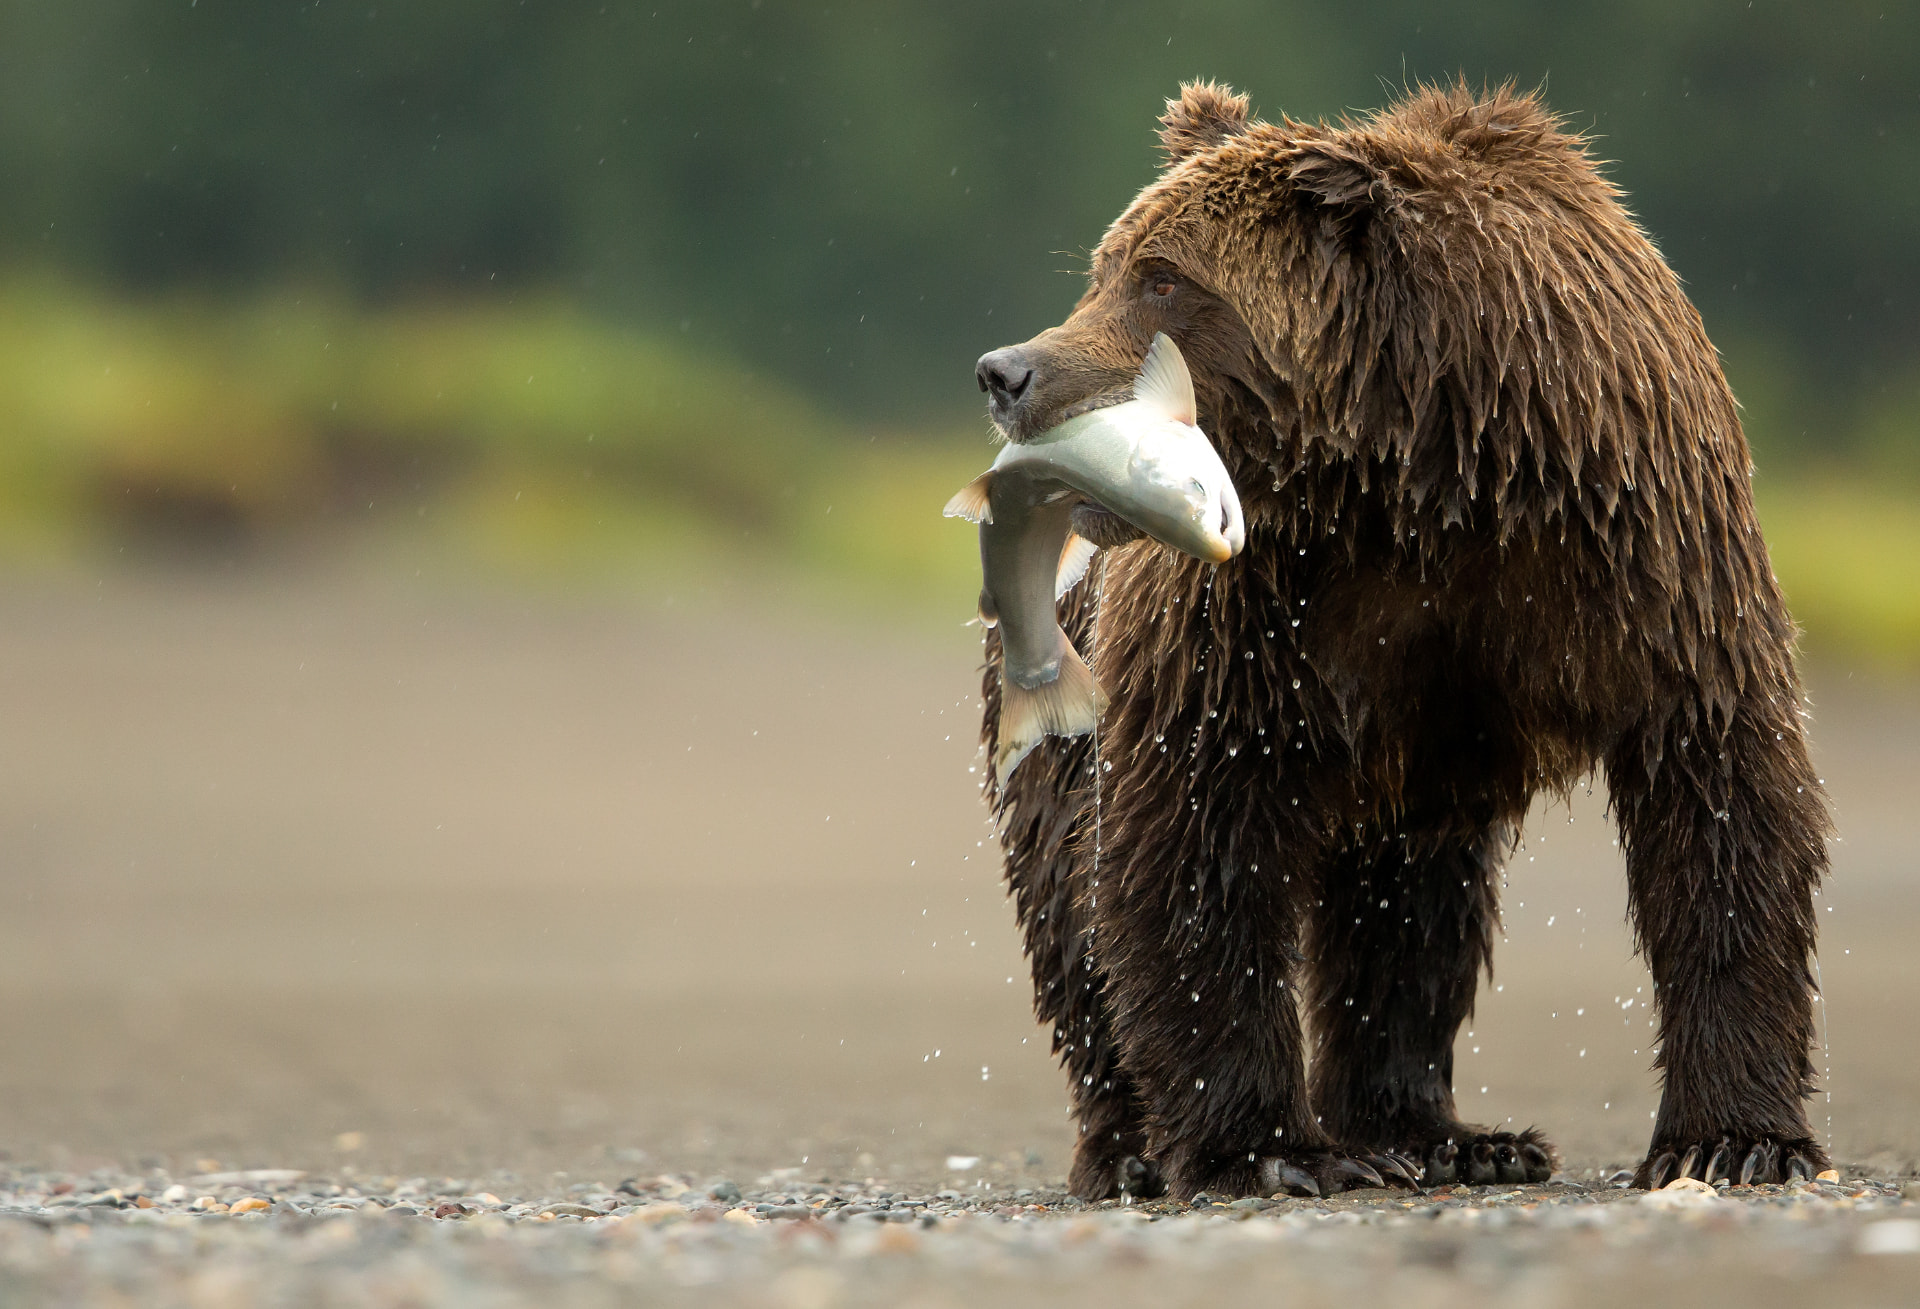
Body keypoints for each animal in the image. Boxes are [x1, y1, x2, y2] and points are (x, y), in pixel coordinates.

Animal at [971, 80, 1831, 1201]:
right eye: (1106, 267)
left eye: (1163, 277)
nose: (1007, 372)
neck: (1417, 478)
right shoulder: (1251, 614)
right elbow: (1193, 829)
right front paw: (1268, 1149)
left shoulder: (1640, 560)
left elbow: (1721, 798)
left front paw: (1733, 1137)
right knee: (1073, 907)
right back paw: (1132, 1148)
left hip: (1419, 758)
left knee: (1411, 909)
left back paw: (1448, 1135)